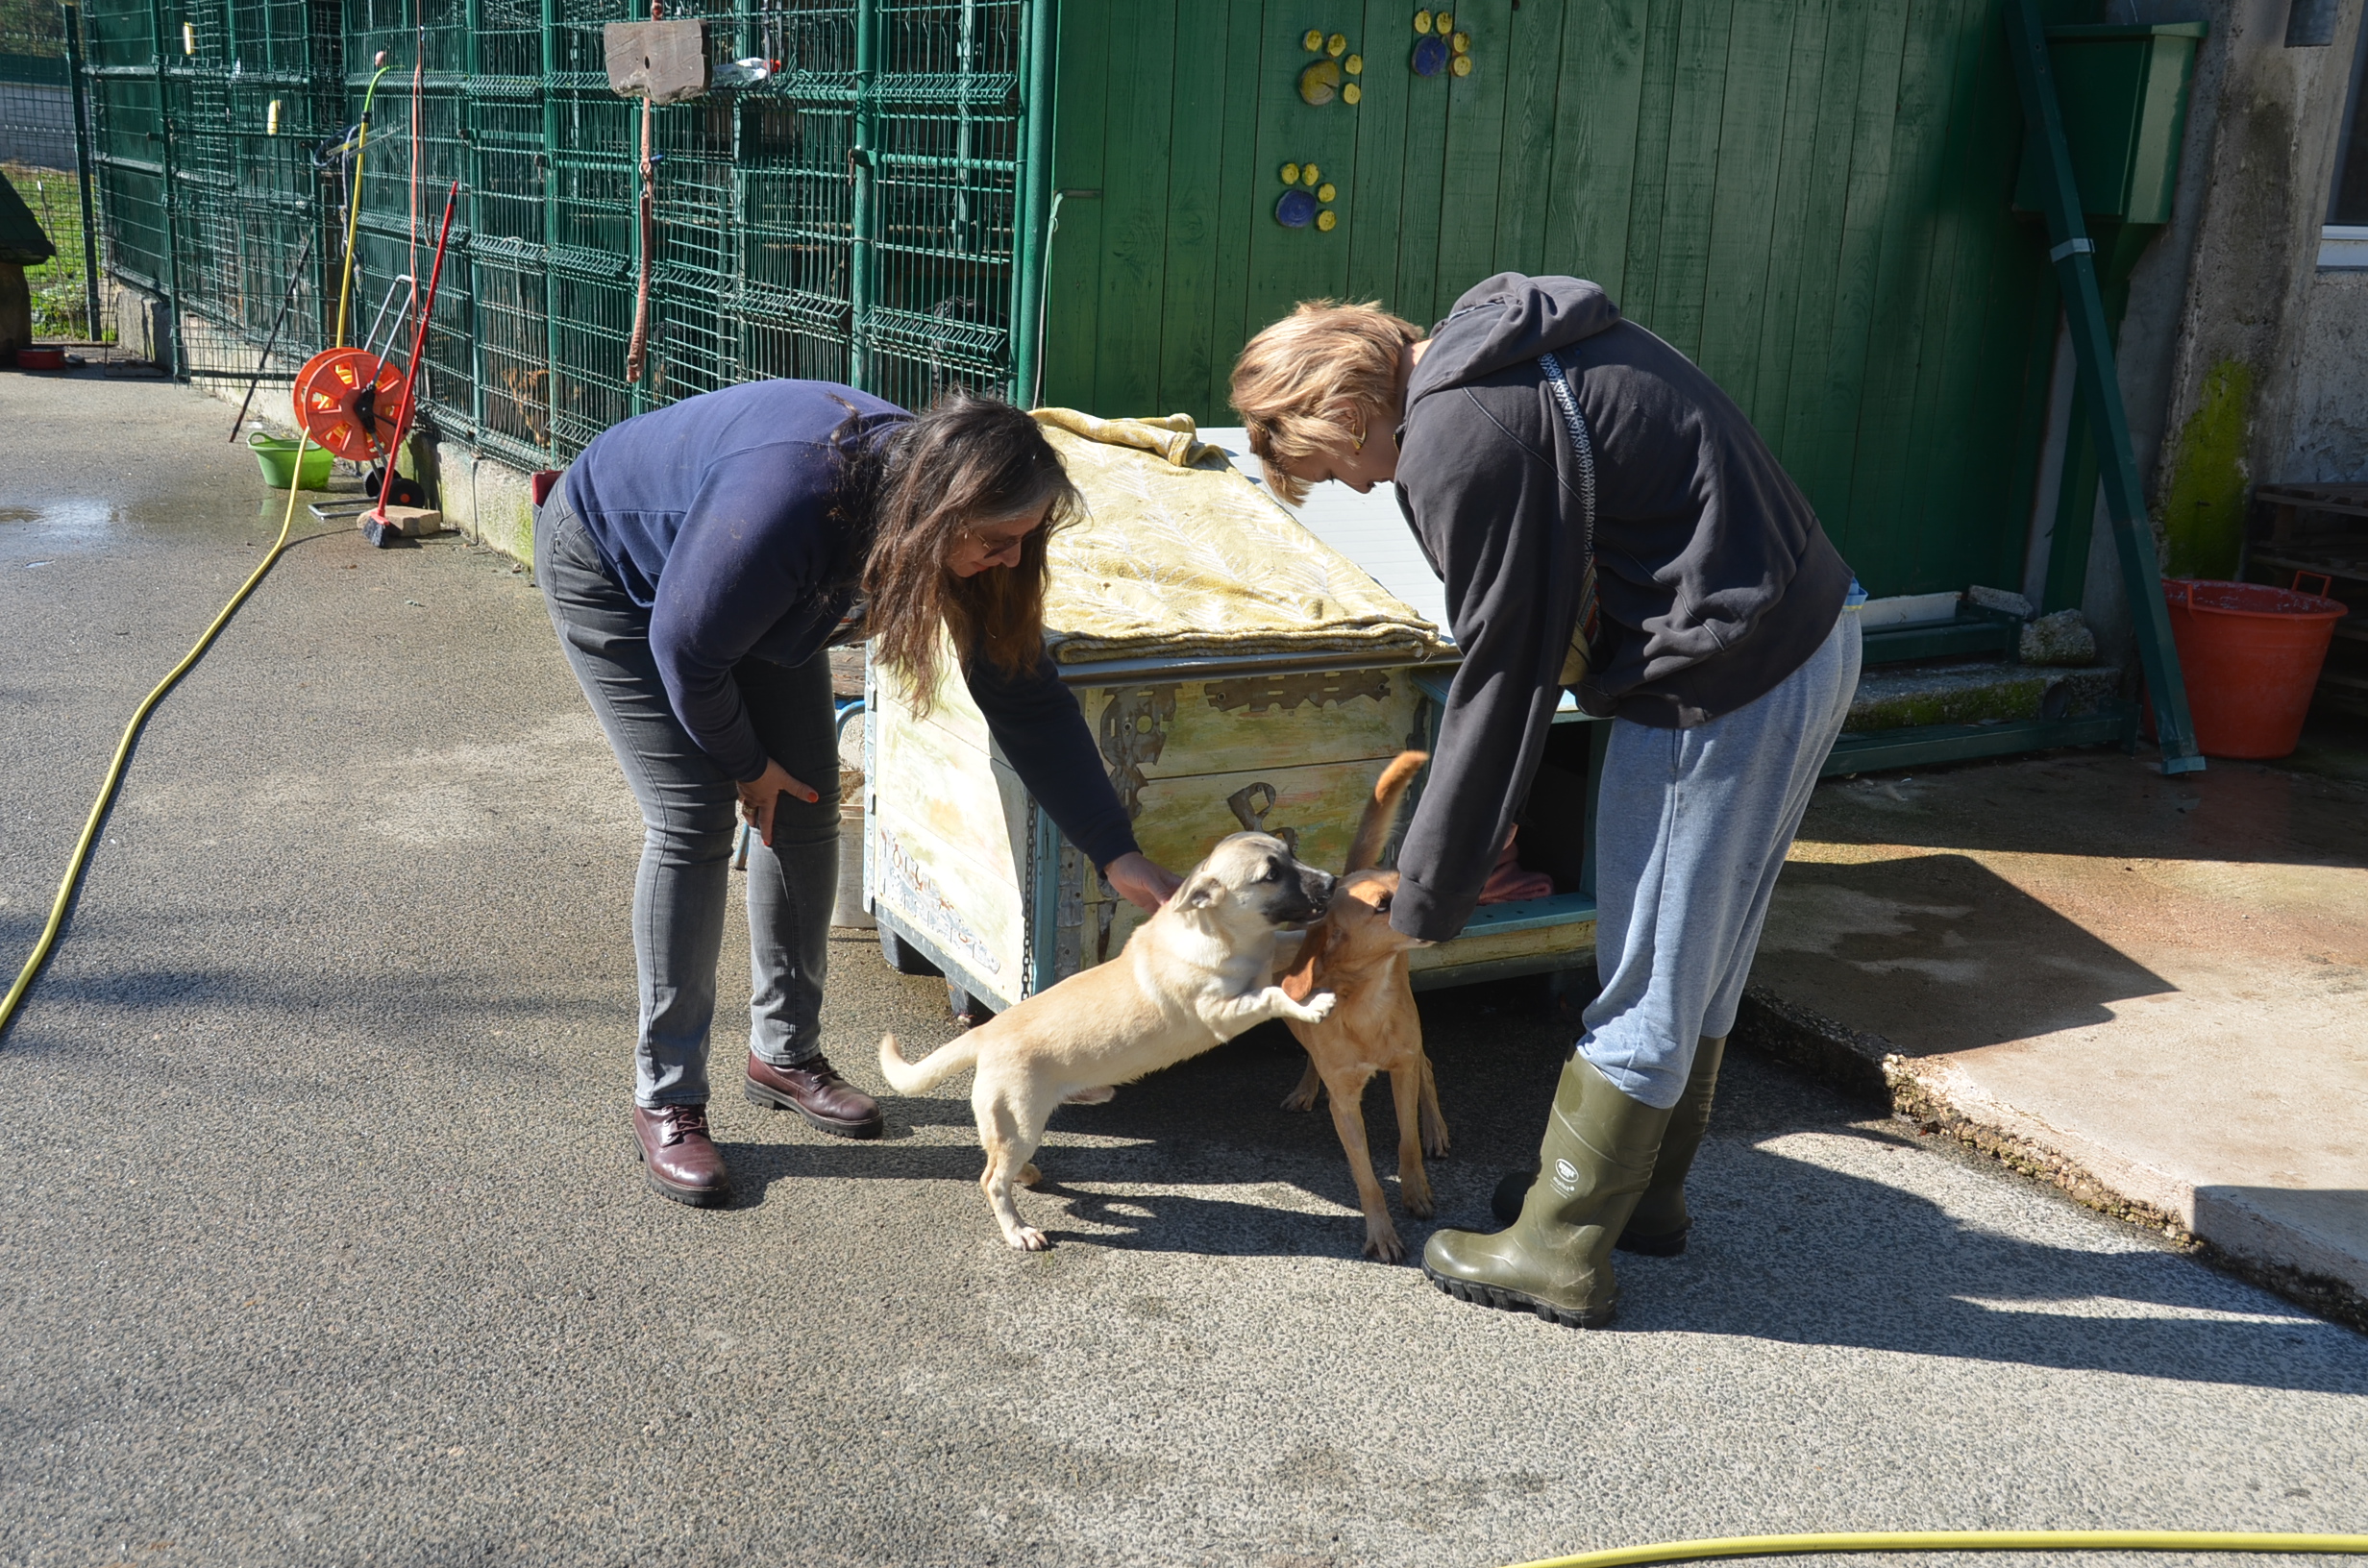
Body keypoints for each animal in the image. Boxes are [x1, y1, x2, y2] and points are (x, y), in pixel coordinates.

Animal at [885, 833, 1335, 1250]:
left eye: (1292, 853)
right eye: (1271, 875)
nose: (1332, 882)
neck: (1226, 935)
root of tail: (987, 1031)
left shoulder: (1269, 956)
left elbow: (1289, 945)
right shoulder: (1223, 1013)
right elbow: (1275, 995)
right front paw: (1313, 1004)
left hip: (1013, 1125)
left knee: (995, 1157)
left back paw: (1026, 1174)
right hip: (1020, 1122)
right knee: (992, 1180)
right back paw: (1018, 1231)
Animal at [1278, 752, 1440, 1269]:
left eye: (1402, 880)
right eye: (1382, 904)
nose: (1431, 904)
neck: (1367, 1006)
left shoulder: (1401, 1069)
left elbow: (1407, 1142)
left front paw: (1416, 1190)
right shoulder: (1345, 1105)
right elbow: (1366, 1179)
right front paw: (1382, 1233)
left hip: (1415, 1038)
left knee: (1428, 1066)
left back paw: (1436, 1128)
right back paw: (1306, 1086)